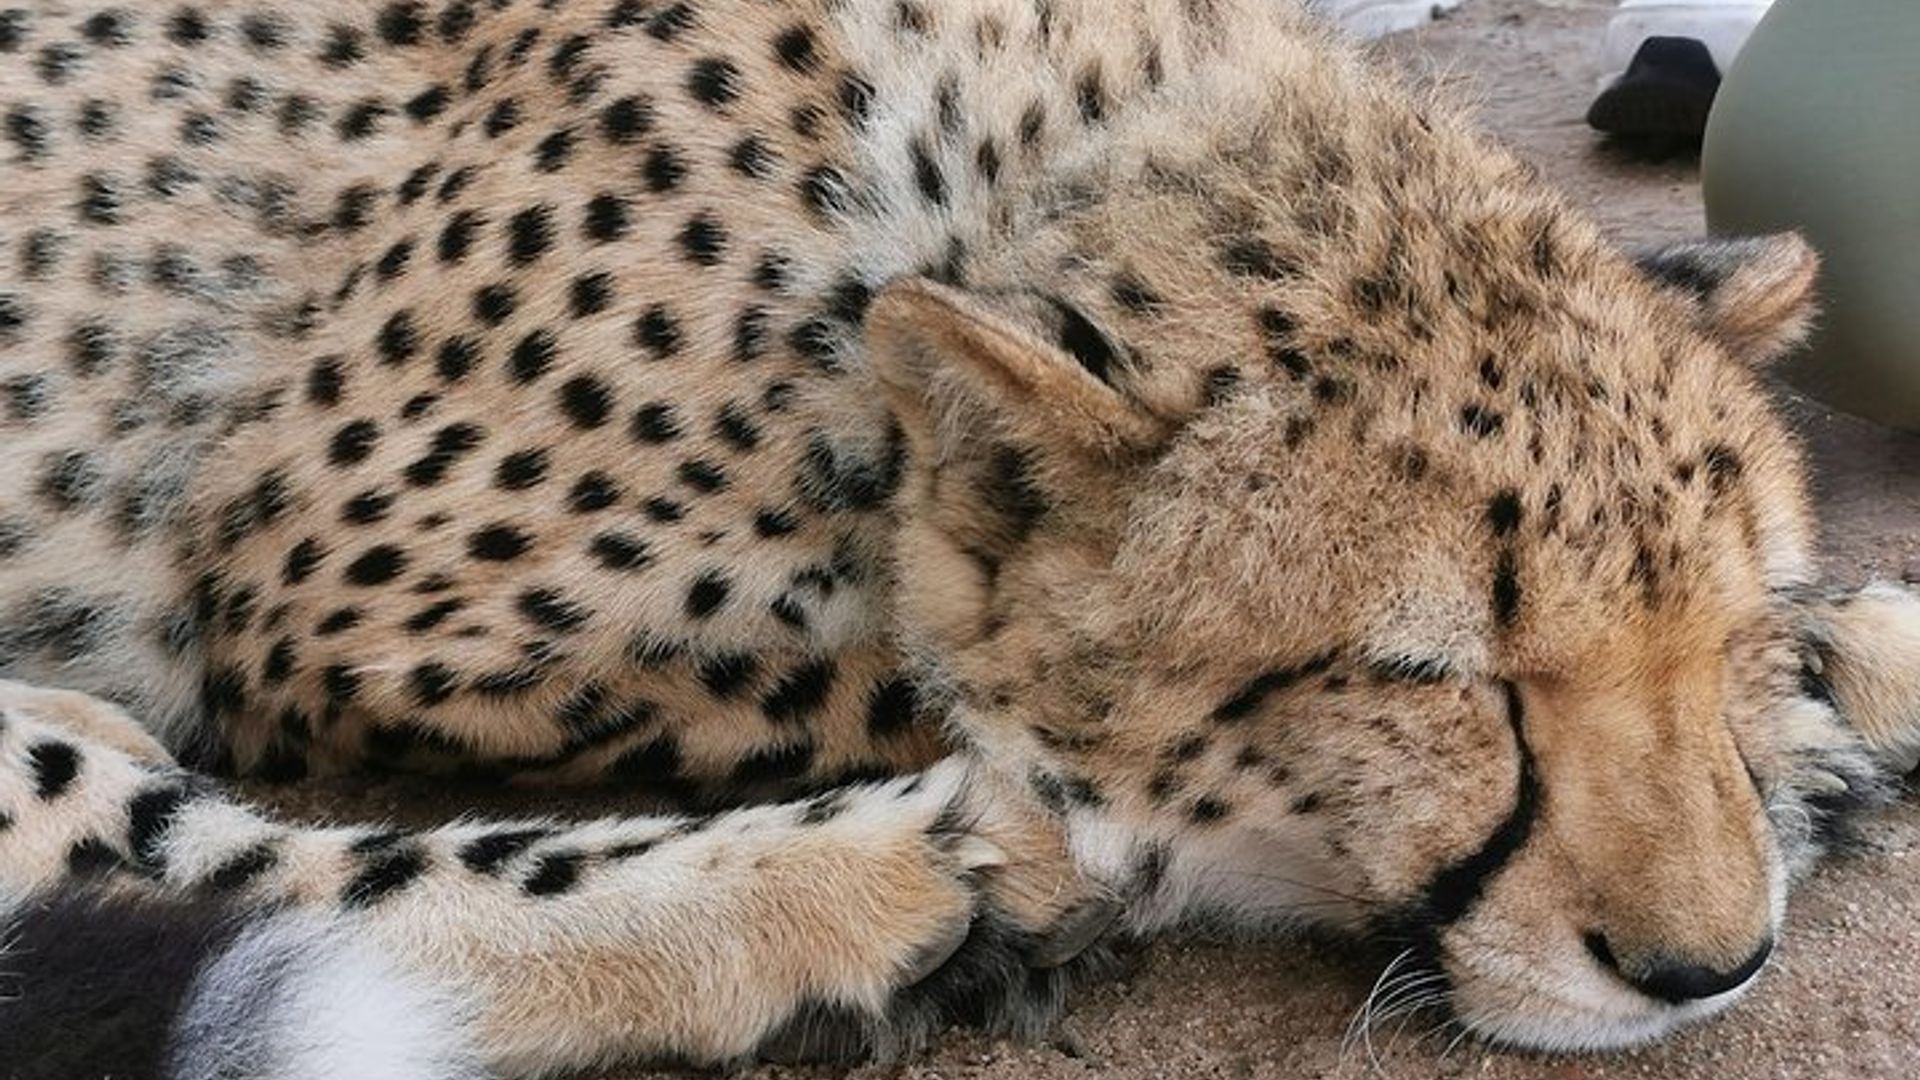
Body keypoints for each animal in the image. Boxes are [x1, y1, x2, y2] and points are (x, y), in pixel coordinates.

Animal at [1, 1, 1918, 1077]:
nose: (1708, 971)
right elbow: (940, 679)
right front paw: (1830, 738)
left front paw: (1842, 667)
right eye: (1434, 681)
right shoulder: (330, 601)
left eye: (1720, 634)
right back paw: (898, 893)